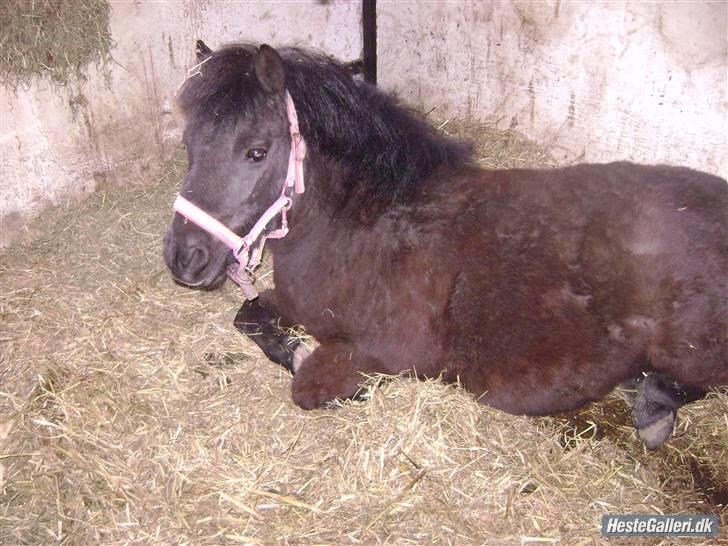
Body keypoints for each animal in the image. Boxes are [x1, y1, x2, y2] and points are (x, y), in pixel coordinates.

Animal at [165, 42, 728, 448]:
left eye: (256, 152)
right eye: (189, 145)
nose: (183, 258)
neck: (367, 224)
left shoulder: (386, 350)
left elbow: (308, 384)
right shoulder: (288, 302)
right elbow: (248, 317)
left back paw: (652, 406)